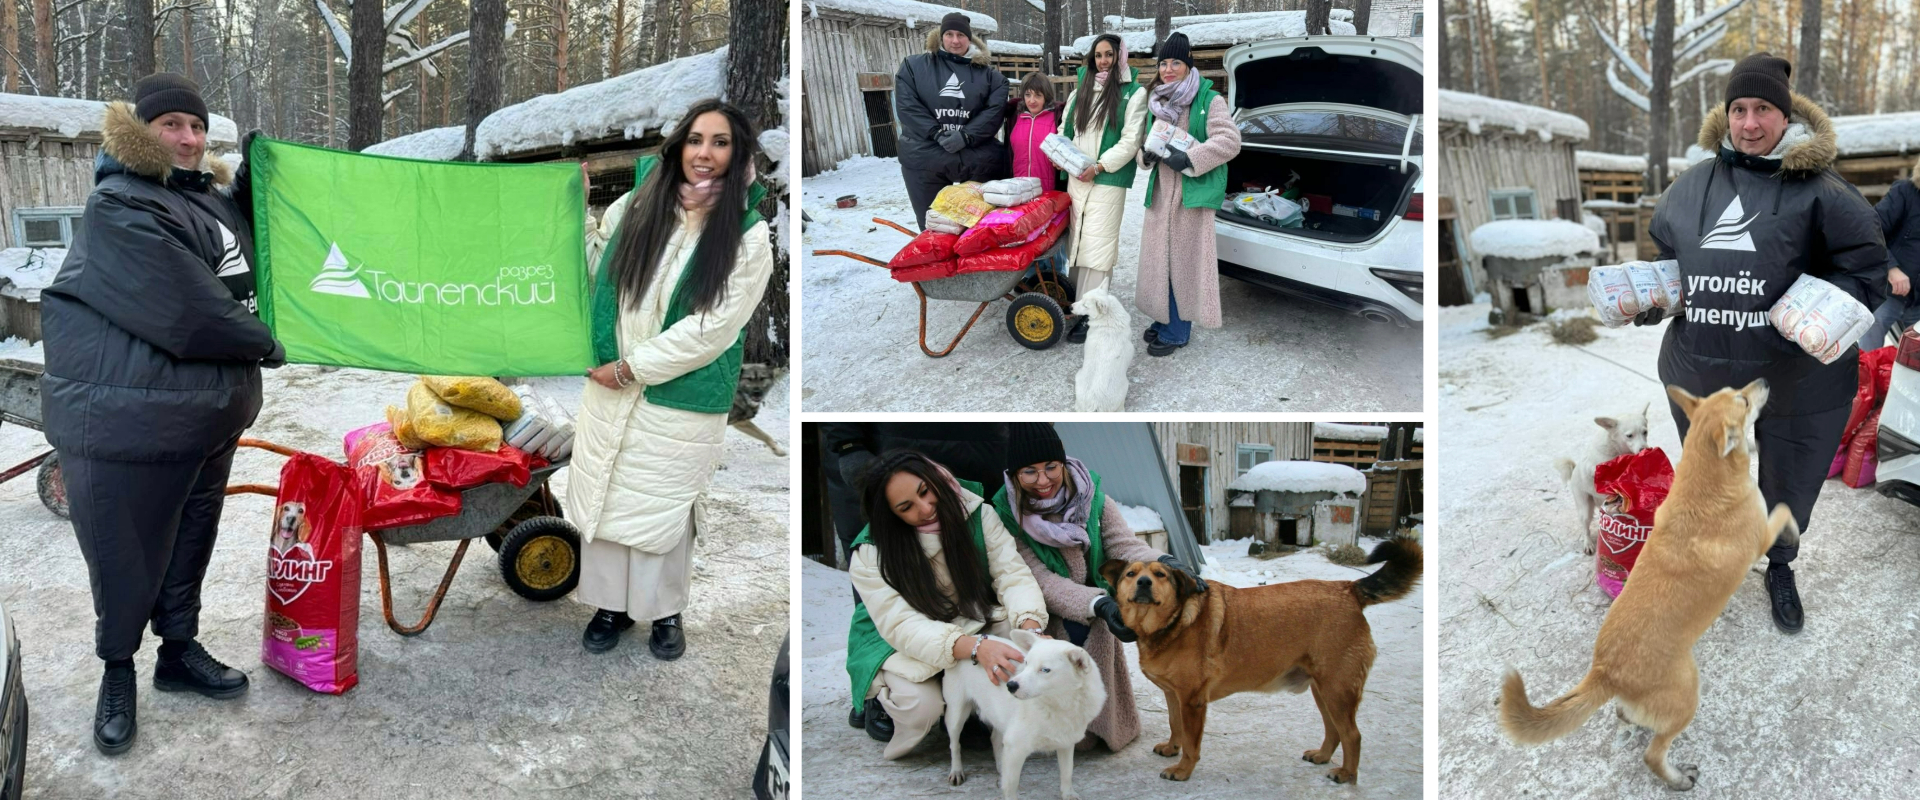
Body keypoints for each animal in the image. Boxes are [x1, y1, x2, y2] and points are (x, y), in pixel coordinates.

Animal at [940, 629, 1105, 798]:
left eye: (1045, 670)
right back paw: (956, 770)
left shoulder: (1066, 743)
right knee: (955, 744)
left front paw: (1068, 794)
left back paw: (1001, 766)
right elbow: (1011, 786)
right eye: (1026, 663)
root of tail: (971, 636)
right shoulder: (1015, 747)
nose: (1010, 685)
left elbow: (1067, 772)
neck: (1059, 705)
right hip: (956, 715)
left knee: (995, 739)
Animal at [1551, 402, 1658, 552]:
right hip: (1585, 508)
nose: (1644, 449)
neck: (1616, 448)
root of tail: (1573, 472)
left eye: (1645, 432)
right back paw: (1588, 544)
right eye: (1629, 435)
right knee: (1585, 528)